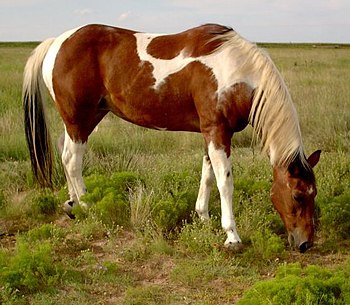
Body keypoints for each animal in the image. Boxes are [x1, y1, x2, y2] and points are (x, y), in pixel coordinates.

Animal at [23, 23, 322, 252]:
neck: (237, 70)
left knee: (65, 155)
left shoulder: (210, 132)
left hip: (83, 119)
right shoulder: (218, 131)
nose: (305, 243)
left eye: (313, 193)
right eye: (298, 196)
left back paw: (72, 205)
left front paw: (203, 218)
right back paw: (87, 206)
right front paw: (232, 237)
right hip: (79, 119)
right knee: (73, 161)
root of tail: (56, 43)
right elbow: (225, 183)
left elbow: (207, 176)